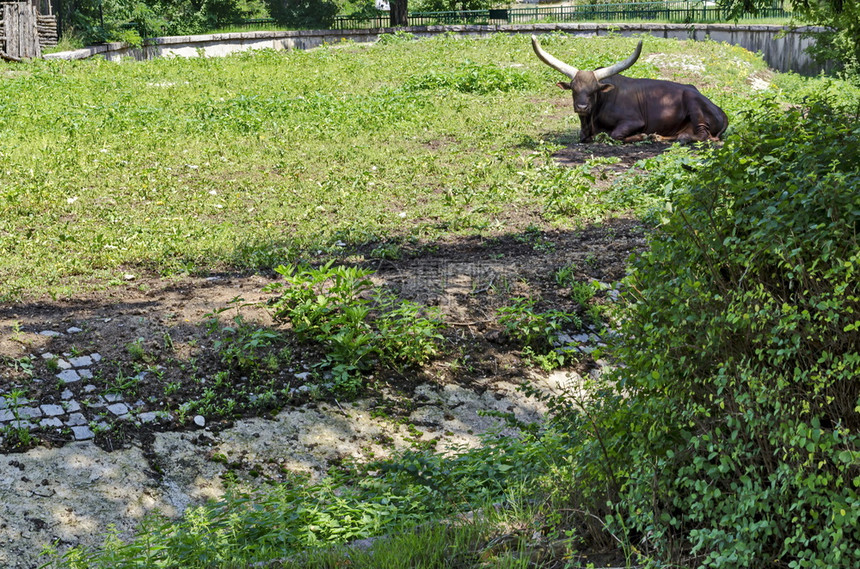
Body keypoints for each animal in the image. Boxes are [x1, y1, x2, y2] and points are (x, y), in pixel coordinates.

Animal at [536, 36, 728, 143]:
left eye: (594, 90)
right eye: (574, 89)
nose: (582, 107)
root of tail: (721, 112)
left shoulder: (634, 121)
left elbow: (613, 134)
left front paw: (640, 136)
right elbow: (585, 137)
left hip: (694, 105)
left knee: (702, 135)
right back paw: (657, 137)